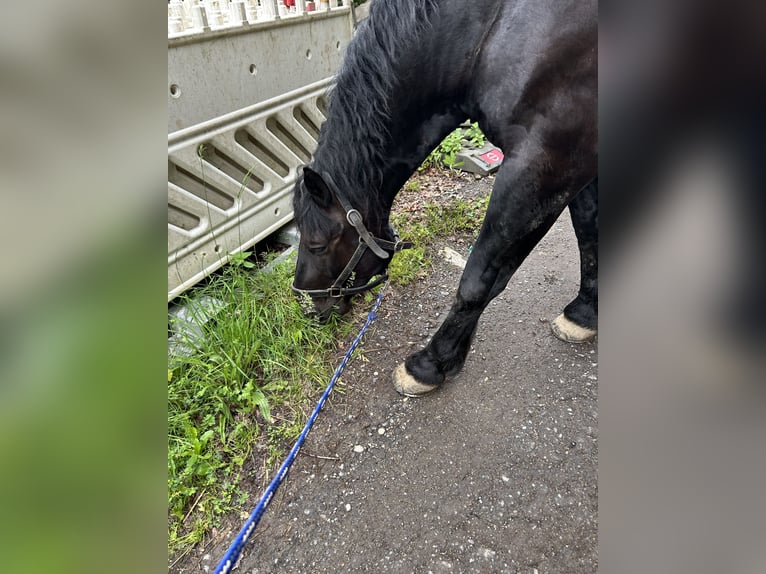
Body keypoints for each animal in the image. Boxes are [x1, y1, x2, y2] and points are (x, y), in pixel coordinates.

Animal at [291, 0, 597, 397]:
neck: (489, 32)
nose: (308, 304)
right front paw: (586, 313)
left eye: (316, 245)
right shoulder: (581, 164)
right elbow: (589, 235)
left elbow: (478, 280)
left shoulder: (544, 165)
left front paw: (432, 363)